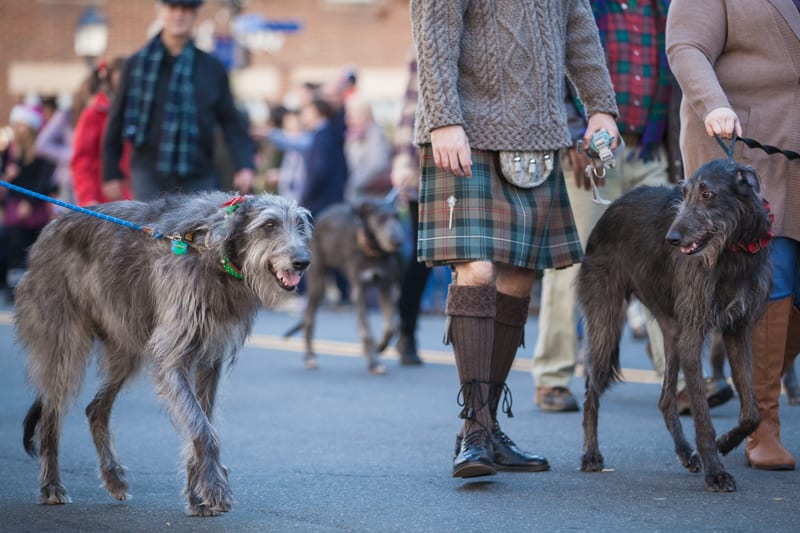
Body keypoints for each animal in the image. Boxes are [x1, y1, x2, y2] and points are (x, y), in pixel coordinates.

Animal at [18, 191, 312, 516]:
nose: (302, 262)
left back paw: (113, 477)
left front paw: (197, 495)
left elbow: (202, 419)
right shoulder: (174, 356)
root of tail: (49, 229)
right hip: (63, 341)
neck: (213, 247)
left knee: (95, 408)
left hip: (126, 346)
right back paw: (52, 486)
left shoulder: (209, 360)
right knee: (50, 414)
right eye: (269, 225)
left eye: (300, 225)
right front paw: (215, 487)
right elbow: (202, 428)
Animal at [282, 200, 404, 374]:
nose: (398, 241)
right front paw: (373, 362)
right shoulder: (359, 290)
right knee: (309, 320)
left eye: (397, 217)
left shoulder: (386, 286)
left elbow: (390, 327)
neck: (373, 251)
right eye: (381, 219)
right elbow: (366, 331)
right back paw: (309, 357)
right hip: (318, 282)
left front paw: (379, 347)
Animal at [580, 157, 772, 490]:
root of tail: (610, 207)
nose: (672, 239)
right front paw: (715, 470)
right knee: (592, 391)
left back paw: (685, 451)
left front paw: (724, 444)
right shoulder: (694, 333)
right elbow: (702, 416)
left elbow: (752, 412)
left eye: (707, 194)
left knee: (665, 399)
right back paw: (592, 455)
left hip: (672, 333)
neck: (730, 252)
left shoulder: (736, 329)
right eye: (684, 193)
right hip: (606, 322)